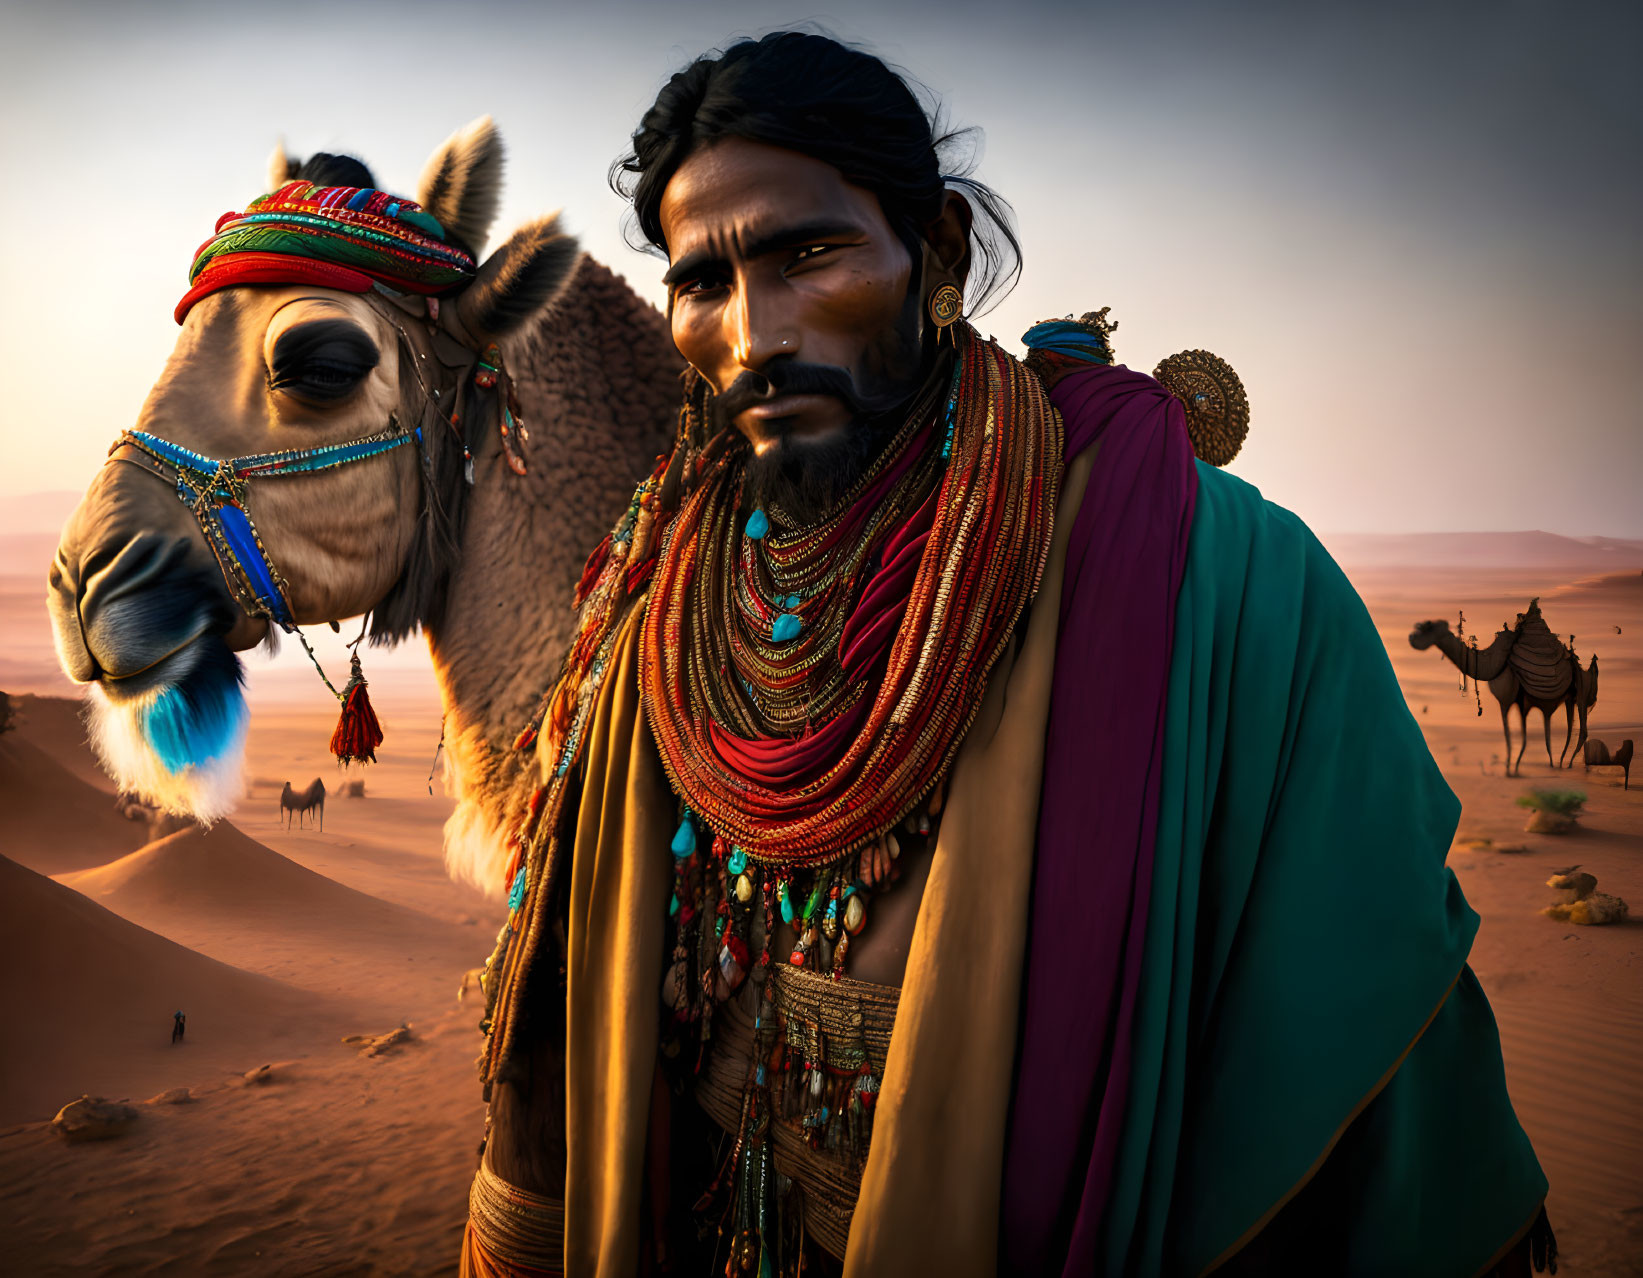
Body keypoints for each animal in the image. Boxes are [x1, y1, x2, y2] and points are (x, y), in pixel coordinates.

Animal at [1406, 601, 1596, 775]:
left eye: (1427, 626)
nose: (1412, 637)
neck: (1495, 662)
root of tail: (1574, 659)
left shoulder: (1507, 698)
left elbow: (1511, 735)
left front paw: (1510, 770)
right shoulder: (1520, 700)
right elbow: (1518, 735)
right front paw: (1513, 768)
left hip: (1583, 687)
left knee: (1583, 727)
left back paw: (1570, 765)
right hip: (1569, 695)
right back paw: (1557, 764)